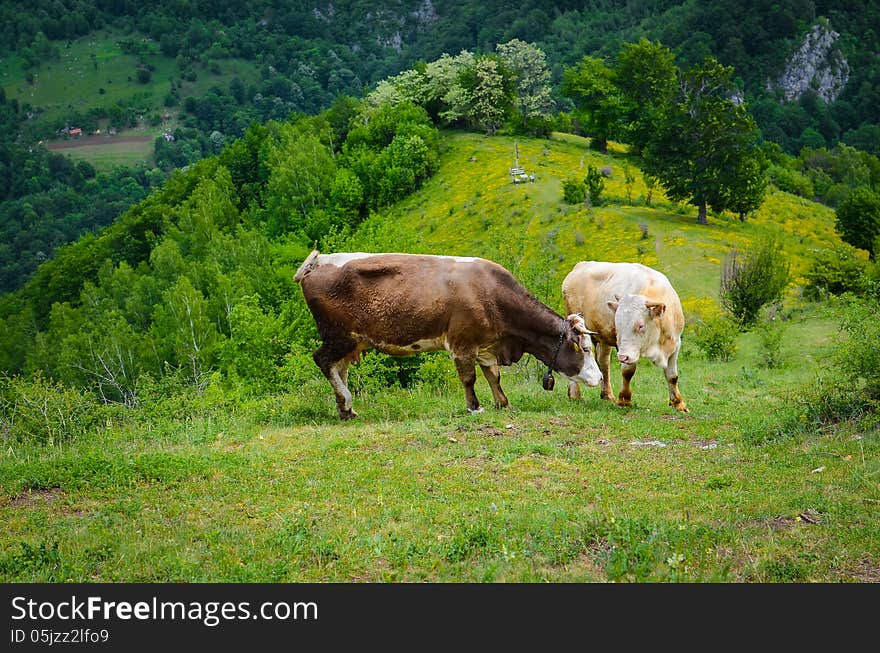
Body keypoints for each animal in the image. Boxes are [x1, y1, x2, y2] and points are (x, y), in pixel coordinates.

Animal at [292, 250, 600, 418]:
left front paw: (503, 403)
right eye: (584, 349)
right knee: (324, 361)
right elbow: (469, 378)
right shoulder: (462, 343)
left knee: (338, 367)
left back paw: (346, 409)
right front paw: (475, 407)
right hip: (338, 336)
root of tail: (319, 262)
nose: (598, 378)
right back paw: (346, 403)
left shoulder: (487, 345)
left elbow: (493, 376)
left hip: (350, 341)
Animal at [564, 258, 688, 410]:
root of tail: (580, 265)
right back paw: (575, 394)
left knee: (604, 363)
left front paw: (678, 403)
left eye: (640, 325)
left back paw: (607, 395)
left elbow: (672, 376)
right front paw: (624, 399)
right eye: (619, 325)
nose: (622, 356)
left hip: (603, 338)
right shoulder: (624, 348)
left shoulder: (675, 344)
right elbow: (628, 372)